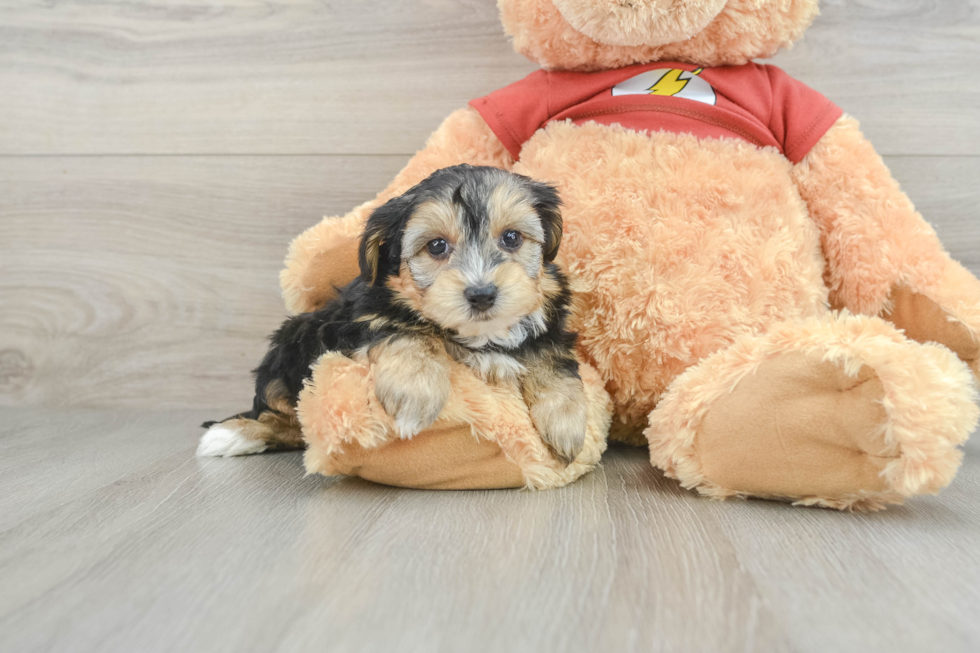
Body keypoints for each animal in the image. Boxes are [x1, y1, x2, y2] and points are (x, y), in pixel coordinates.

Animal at [195, 166, 584, 466]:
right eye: (437, 246)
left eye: (512, 238)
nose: (482, 294)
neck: (477, 333)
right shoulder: (359, 320)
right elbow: (408, 332)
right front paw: (415, 393)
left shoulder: (549, 322)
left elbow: (552, 358)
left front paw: (566, 423)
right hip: (290, 345)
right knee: (285, 416)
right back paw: (232, 434)